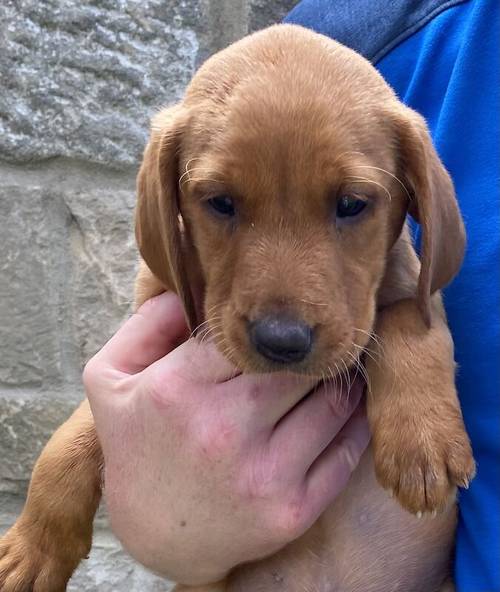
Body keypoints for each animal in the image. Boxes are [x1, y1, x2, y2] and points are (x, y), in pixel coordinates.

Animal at [0, 24, 474, 592]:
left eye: (352, 204)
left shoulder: (410, 284)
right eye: (221, 203)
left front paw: (422, 442)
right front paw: (33, 548)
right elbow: (73, 434)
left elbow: (410, 322)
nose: (281, 341)